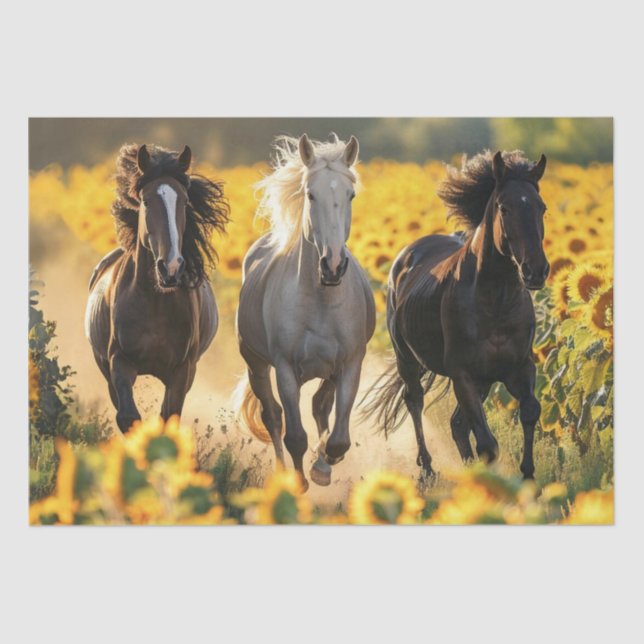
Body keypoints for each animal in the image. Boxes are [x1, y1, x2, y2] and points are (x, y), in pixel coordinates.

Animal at [85, 143, 230, 433]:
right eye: (146, 201)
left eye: (184, 201)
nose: (171, 267)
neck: (155, 302)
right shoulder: (119, 362)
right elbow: (128, 417)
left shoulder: (182, 371)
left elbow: (168, 417)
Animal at [234, 134, 375, 490]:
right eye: (311, 194)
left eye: (350, 194)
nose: (333, 265)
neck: (321, 300)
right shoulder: (285, 368)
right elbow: (294, 436)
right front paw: (297, 483)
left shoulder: (350, 364)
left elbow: (338, 439)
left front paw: (322, 466)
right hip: (257, 365)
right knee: (273, 417)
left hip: (328, 371)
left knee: (319, 406)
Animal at [363, 150, 548, 479]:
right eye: (504, 208)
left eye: (542, 207)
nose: (536, 271)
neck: (496, 301)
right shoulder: (463, 374)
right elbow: (487, 444)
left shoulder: (518, 368)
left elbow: (529, 411)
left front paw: (528, 478)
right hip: (407, 359)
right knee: (415, 401)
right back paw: (427, 470)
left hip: (483, 381)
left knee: (457, 424)